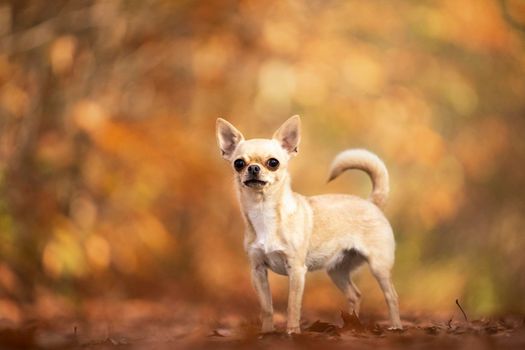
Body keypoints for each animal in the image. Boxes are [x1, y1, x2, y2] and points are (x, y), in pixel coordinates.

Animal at [216, 115, 402, 334]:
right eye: (238, 163)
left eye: (273, 163)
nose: (253, 168)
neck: (263, 211)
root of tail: (371, 202)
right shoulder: (258, 271)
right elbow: (267, 307)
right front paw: (267, 333)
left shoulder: (296, 270)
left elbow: (293, 305)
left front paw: (292, 332)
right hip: (337, 270)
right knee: (355, 294)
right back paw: (350, 326)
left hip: (378, 266)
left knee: (391, 296)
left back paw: (396, 327)